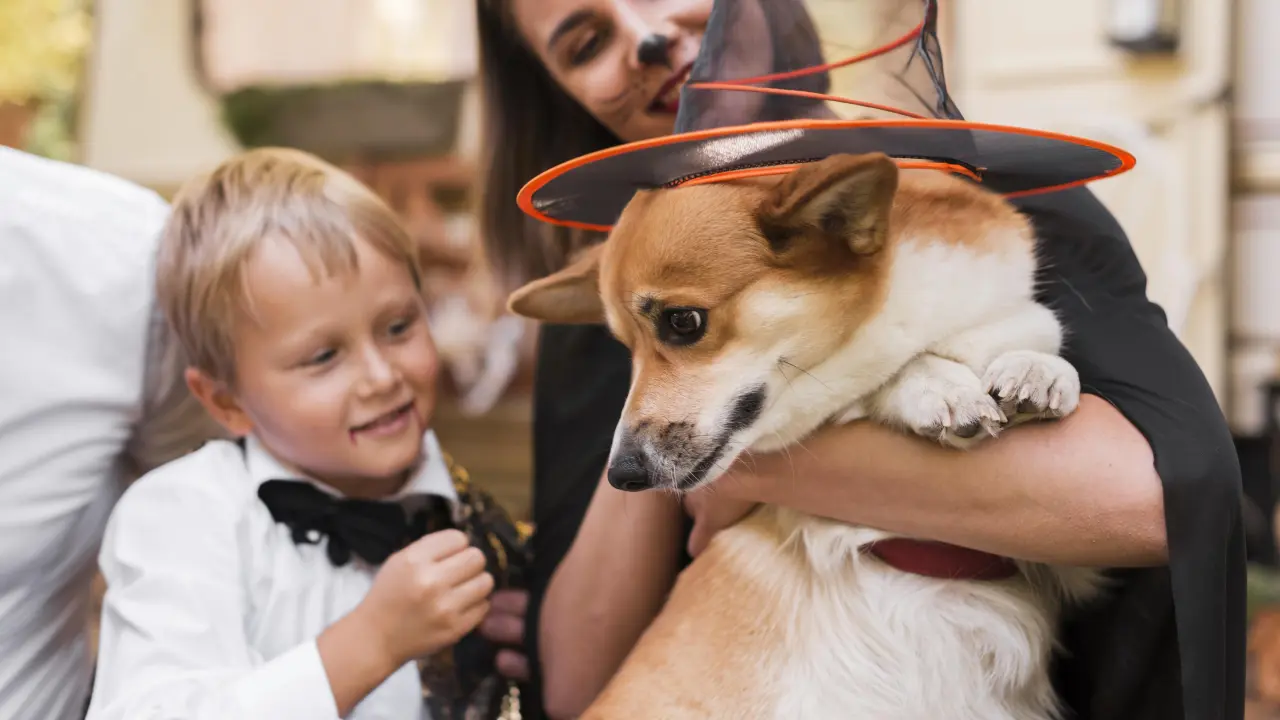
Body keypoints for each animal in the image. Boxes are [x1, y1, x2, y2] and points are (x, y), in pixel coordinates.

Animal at [508, 153, 1103, 719]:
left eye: (683, 322)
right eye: (625, 347)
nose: (622, 475)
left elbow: (1036, 329)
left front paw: (1036, 372)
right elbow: (891, 372)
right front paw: (936, 385)